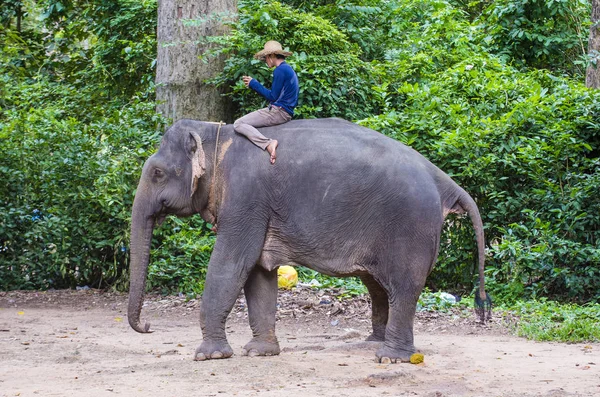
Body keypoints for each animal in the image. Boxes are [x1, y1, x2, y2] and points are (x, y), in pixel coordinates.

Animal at [126, 117, 488, 362]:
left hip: (410, 226)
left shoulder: (246, 198)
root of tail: (443, 181)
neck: (217, 135)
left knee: (403, 287)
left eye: (157, 173)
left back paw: (390, 357)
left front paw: (209, 356)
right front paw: (260, 352)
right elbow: (258, 273)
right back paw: (372, 344)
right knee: (378, 286)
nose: (147, 326)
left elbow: (231, 263)